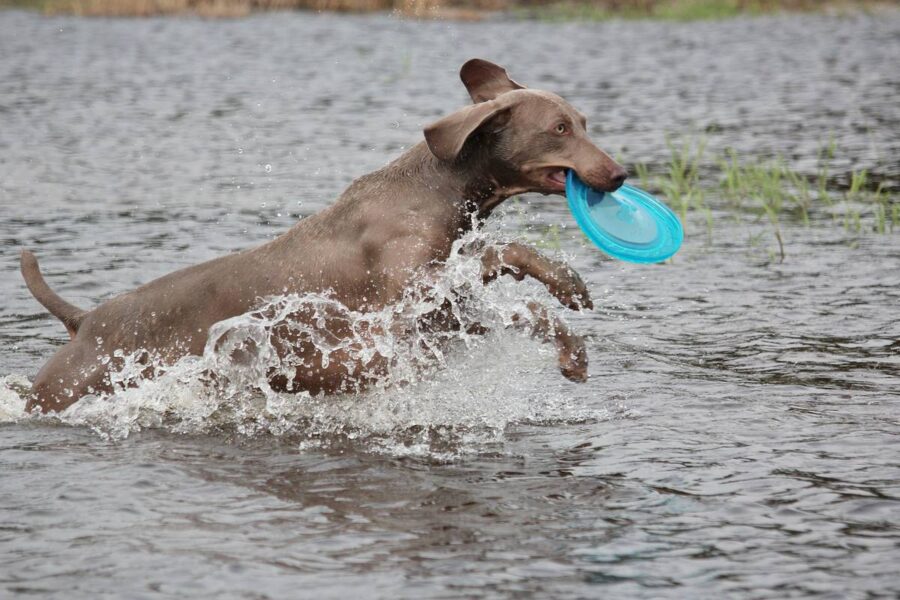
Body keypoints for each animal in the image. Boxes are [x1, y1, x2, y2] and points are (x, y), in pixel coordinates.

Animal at [21, 59, 624, 412]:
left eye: (585, 123)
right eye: (560, 129)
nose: (620, 175)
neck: (438, 188)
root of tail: (84, 321)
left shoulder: (441, 302)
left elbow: (506, 275)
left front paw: (569, 307)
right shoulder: (401, 313)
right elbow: (508, 275)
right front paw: (568, 309)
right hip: (64, 388)